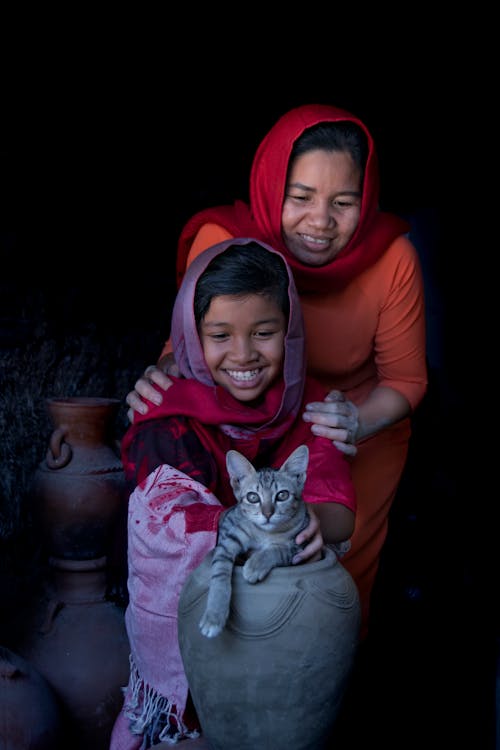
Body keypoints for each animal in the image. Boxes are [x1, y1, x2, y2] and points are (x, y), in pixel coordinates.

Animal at [198, 446, 308, 640]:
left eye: (282, 495)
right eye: (253, 497)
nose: (268, 513)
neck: (266, 533)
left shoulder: (300, 547)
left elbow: (277, 551)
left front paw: (255, 565)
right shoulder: (228, 541)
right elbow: (219, 572)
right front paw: (214, 615)